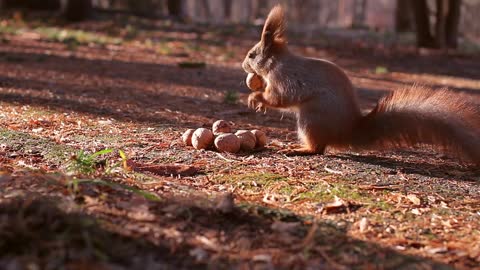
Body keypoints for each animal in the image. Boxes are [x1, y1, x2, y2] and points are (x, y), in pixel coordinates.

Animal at [244, 5, 480, 166]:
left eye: (252, 55)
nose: (244, 65)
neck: (276, 62)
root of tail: (346, 131)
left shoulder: (284, 79)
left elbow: (280, 98)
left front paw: (256, 97)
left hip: (311, 118)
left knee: (318, 148)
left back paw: (299, 149)